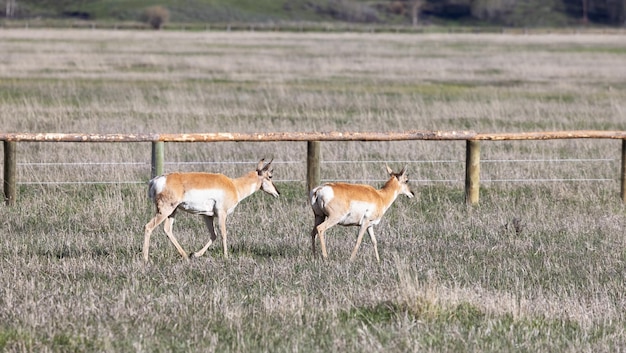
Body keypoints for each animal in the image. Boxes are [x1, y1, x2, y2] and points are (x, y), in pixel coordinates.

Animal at [143, 158, 280, 260]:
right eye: (270, 176)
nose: (278, 193)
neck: (234, 185)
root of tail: (156, 180)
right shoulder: (222, 214)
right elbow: (223, 233)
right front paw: (226, 257)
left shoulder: (207, 216)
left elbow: (213, 235)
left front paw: (195, 254)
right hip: (165, 211)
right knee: (148, 226)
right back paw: (145, 259)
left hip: (172, 211)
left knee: (167, 229)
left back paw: (186, 255)